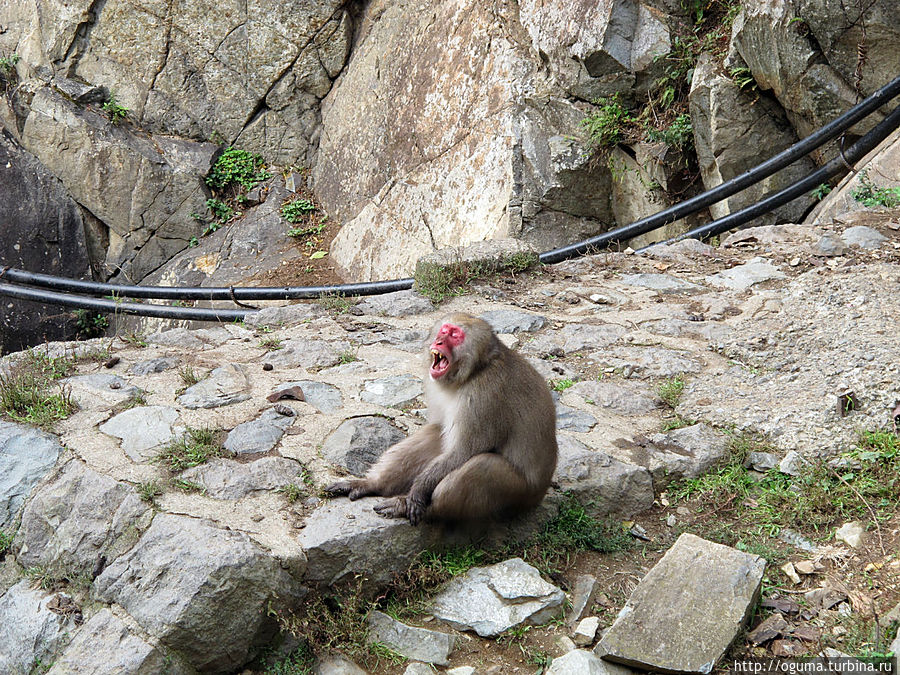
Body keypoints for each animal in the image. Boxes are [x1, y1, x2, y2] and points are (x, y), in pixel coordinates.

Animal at [324, 314, 556, 524]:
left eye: (455, 335)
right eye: (444, 330)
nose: (439, 341)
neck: (473, 372)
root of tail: (540, 494)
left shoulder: (484, 396)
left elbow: (463, 452)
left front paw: (418, 492)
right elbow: (439, 428)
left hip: (518, 494)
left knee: (481, 466)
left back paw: (417, 507)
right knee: (436, 433)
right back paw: (373, 484)